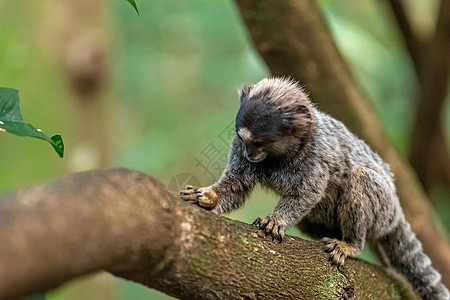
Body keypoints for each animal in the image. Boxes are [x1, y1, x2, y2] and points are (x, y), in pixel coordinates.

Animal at [180, 78, 450, 300]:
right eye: (244, 141)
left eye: (257, 142)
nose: (249, 153)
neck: (280, 156)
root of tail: (398, 211)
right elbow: (235, 188)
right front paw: (207, 197)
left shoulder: (315, 157)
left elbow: (307, 193)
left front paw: (276, 220)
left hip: (384, 211)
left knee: (361, 178)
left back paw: (351, 244)